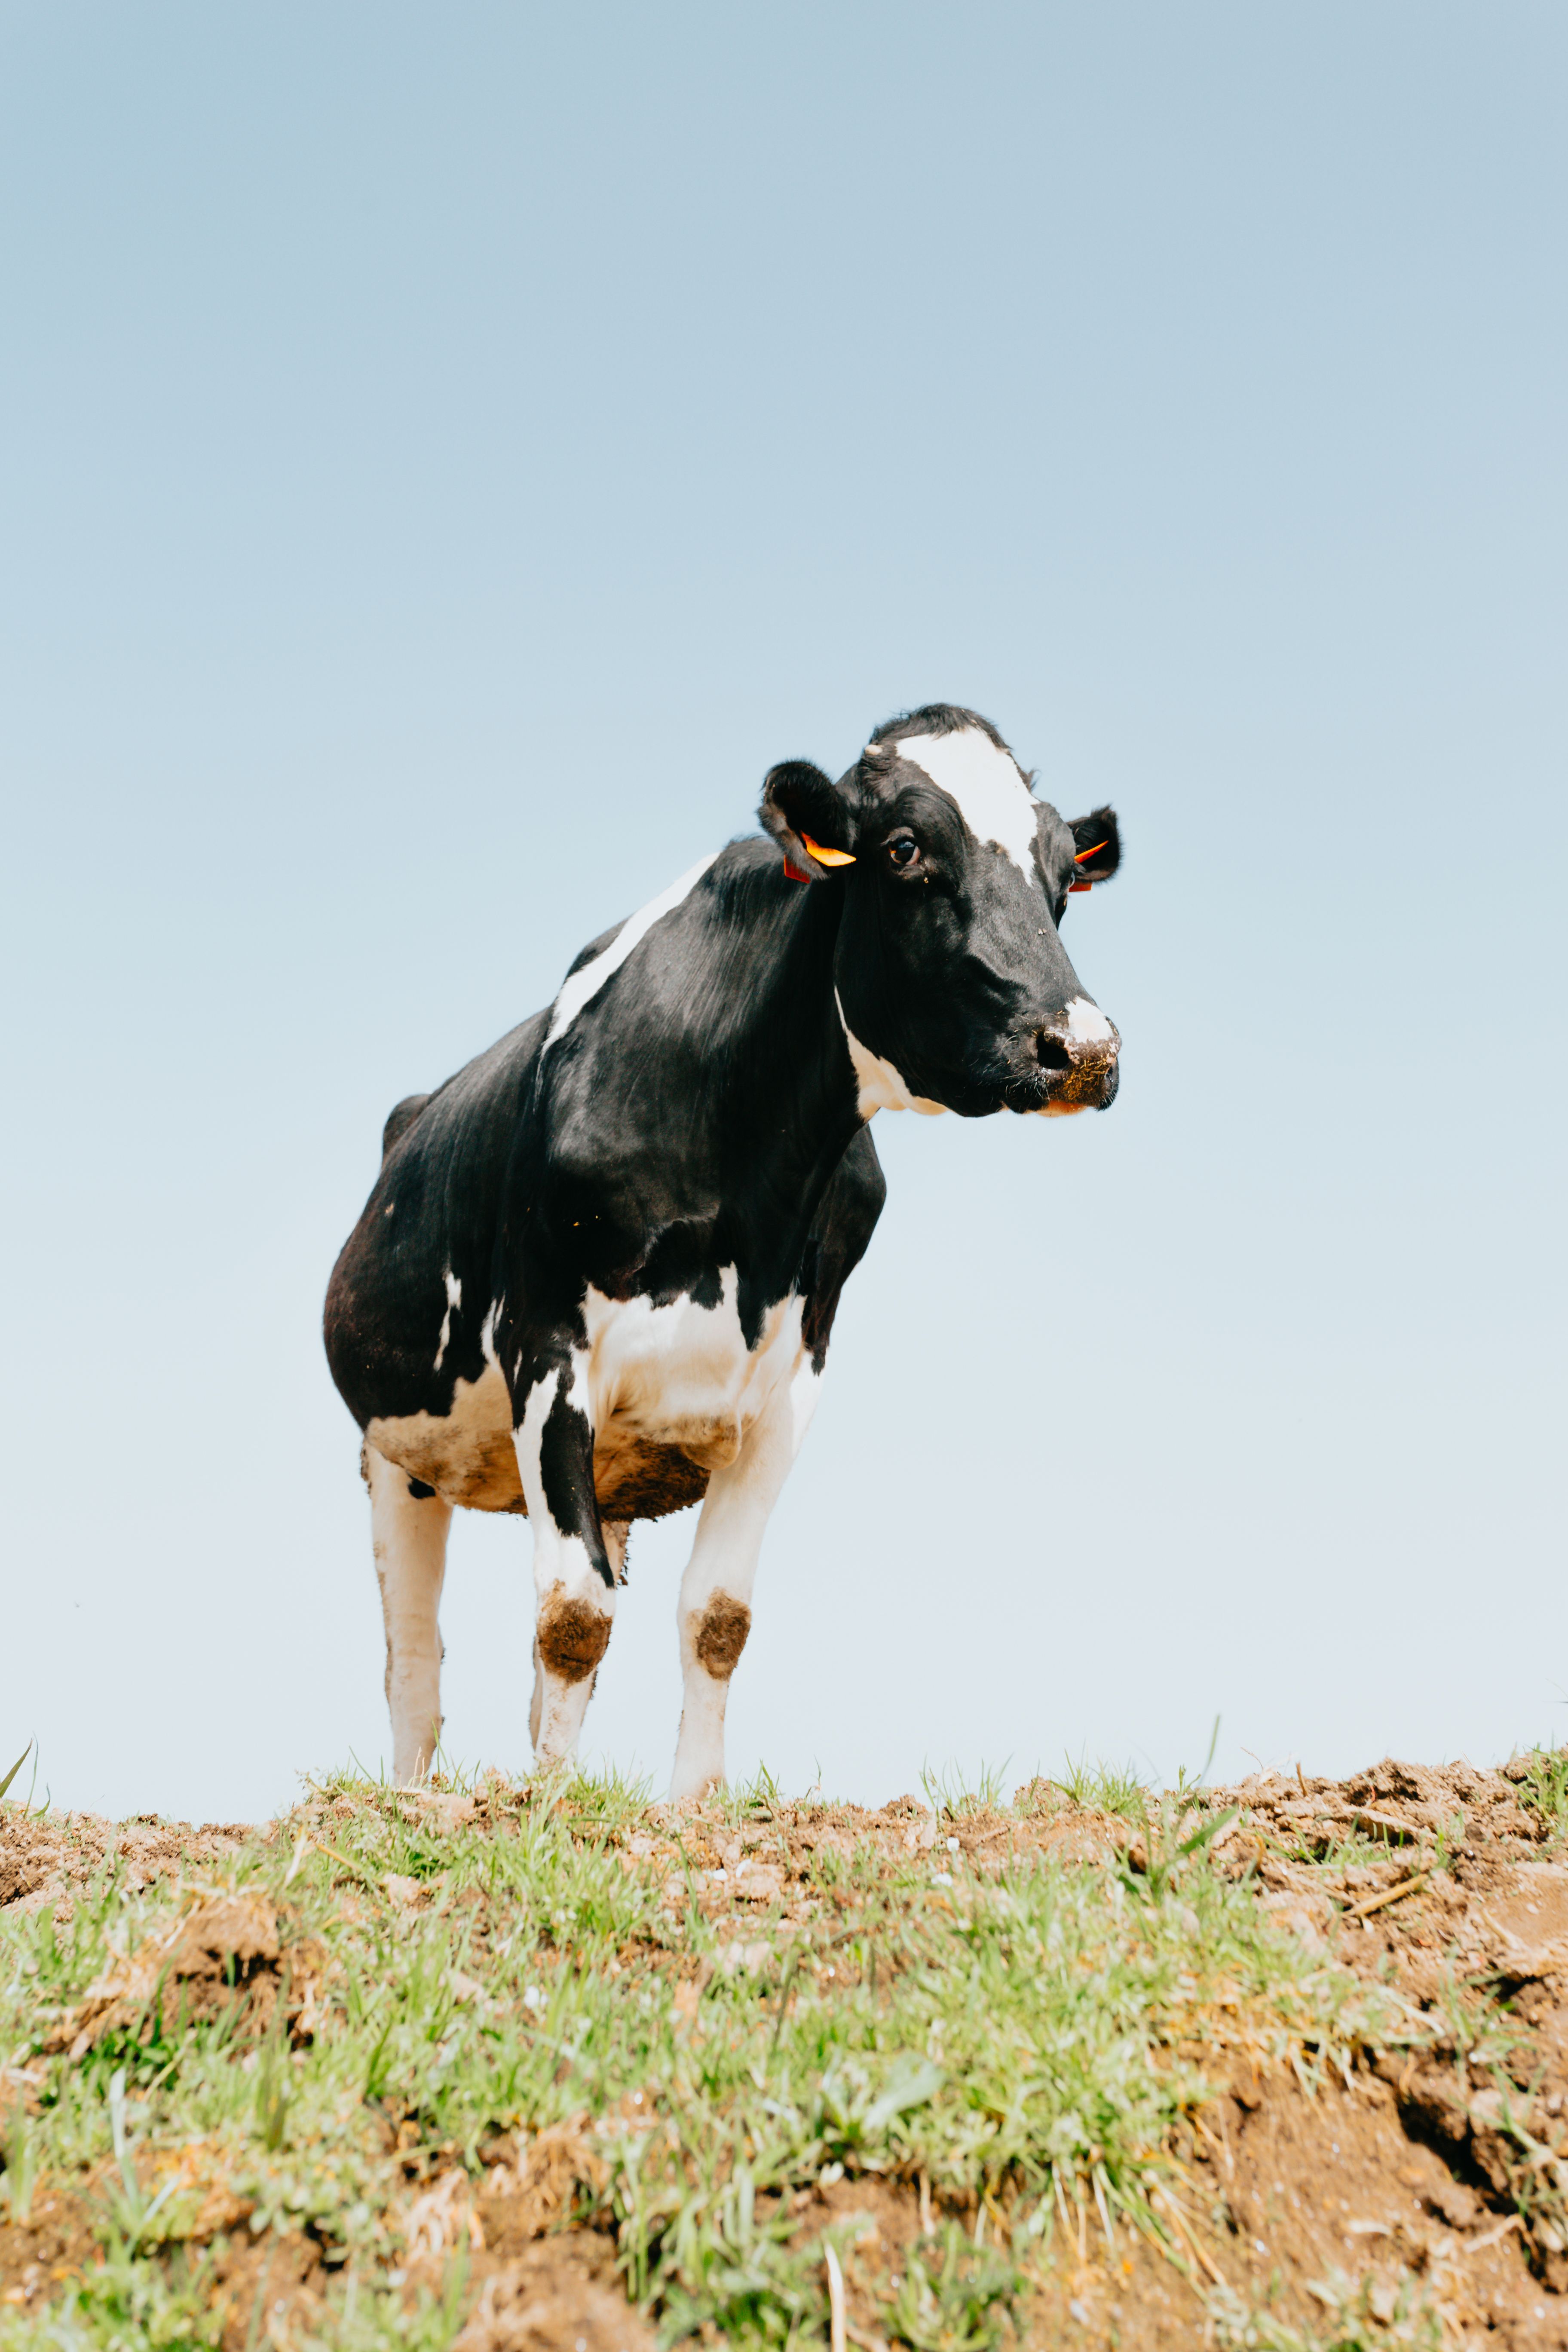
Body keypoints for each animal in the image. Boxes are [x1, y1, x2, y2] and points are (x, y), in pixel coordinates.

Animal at [324, 704, 1122, 1797]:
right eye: (905, 850)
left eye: (1060, 877)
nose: (1084, 1049)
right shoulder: (547, 1348)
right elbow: (571, 1619)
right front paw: (550, 1810)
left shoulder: (791, 1376)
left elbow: (714, 1618)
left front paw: (690, 1802)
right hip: (395, 1452)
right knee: (414, 1654)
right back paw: (416, 1796)